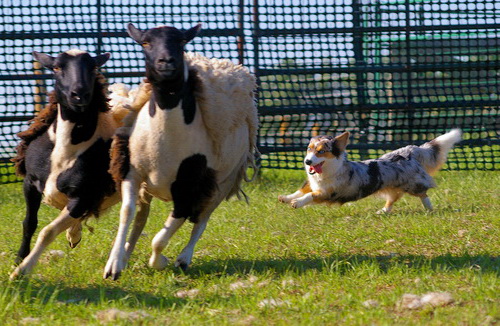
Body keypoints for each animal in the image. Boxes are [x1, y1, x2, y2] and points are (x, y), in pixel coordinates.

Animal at [278, 129, 460, 213]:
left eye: (321, 151)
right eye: (309, 149)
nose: (307, 161)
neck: (327, 172)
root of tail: (409, 151)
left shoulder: (328, 193)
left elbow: (309, 195)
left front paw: (297, 203)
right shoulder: (312, 183)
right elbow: (301, 190)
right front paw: (286, 198)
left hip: (412, 185)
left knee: (423, 193)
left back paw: (429, 209)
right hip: (393, 188)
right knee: (392, 199)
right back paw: (383, 211)